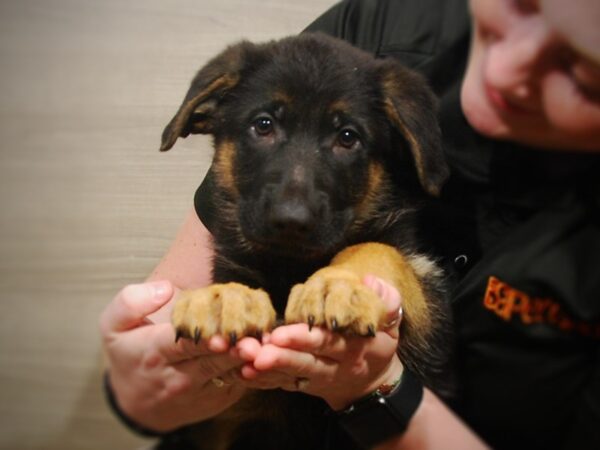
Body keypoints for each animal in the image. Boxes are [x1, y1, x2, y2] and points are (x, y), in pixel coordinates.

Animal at [159, 32, 450, 450]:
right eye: (263, 125)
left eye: (348, 137)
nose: (291, 221)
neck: (290, 264)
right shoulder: (224, 420)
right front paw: (224, 296)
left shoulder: (431, 327)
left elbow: (379, 249)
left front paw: (339, 286)